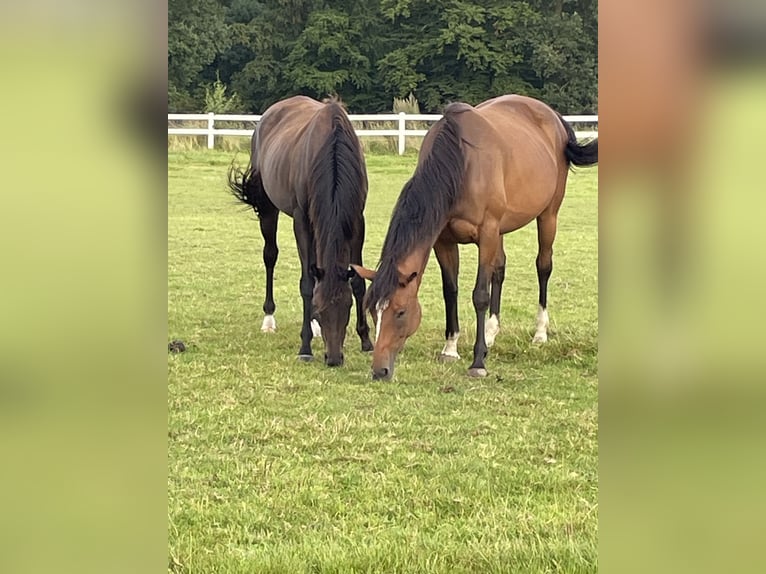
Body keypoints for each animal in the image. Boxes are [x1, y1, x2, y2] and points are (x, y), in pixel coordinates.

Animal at [226, 96, 374, 366]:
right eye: (321, 308)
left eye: (347, 307)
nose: (334, 358)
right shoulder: (302, 220)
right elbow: (307, 283)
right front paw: (305, 346)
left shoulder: (357, 220)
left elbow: (358, 280)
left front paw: (366, 340)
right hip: (268, 208)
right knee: (270, 256)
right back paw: (269, 319)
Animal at [354, 95, 600, 382]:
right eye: (373, 312)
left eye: (400, 312)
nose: (379, 370)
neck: (461, 164)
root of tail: (553, 117)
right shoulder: (444, 241)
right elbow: (451, 291)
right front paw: (450, 348)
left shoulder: (487, 233)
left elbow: (480, 294)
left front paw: (478, 361)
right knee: (500, 269)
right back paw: (491, 332)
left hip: (548, 216)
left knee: (543, 266)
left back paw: (540, 332)